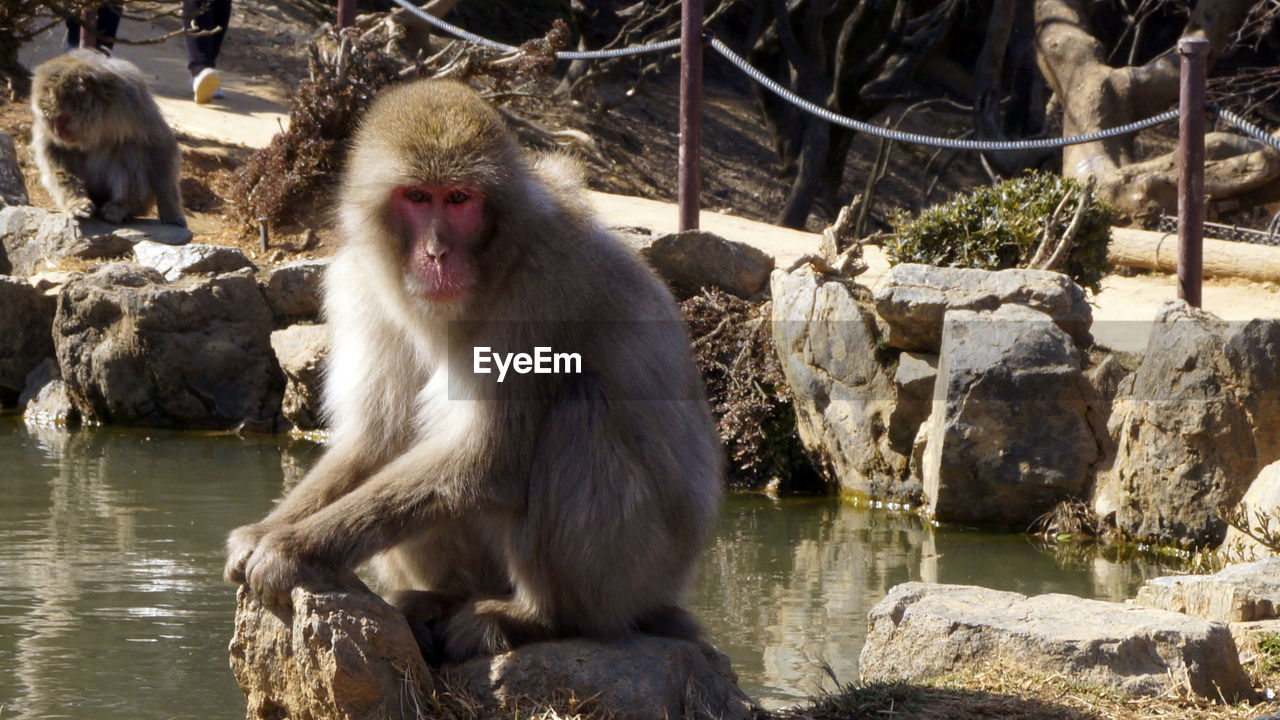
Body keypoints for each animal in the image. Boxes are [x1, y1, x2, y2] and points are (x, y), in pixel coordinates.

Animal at [29, 49, 185, 225]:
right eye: (50, 120)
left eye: (62, 118)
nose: (58, 132)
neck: (99, 115)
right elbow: (53, 148)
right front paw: (76, 202)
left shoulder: (131, 96)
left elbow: (158, 144)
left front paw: (171, 210)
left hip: (142, 201)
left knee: (129, 147)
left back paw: (121, 206)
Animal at [225, 78, 727, 661]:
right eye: (418, 197)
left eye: (460, 199)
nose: (437, 253)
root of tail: (668, 595)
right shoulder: (361, 284)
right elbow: (377, 440)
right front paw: (265, 530)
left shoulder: (542, 288)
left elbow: (490, 453)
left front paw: (293, 548)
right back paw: (439, 599)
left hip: (636, 574)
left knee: (578, 411)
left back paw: (536, 617)